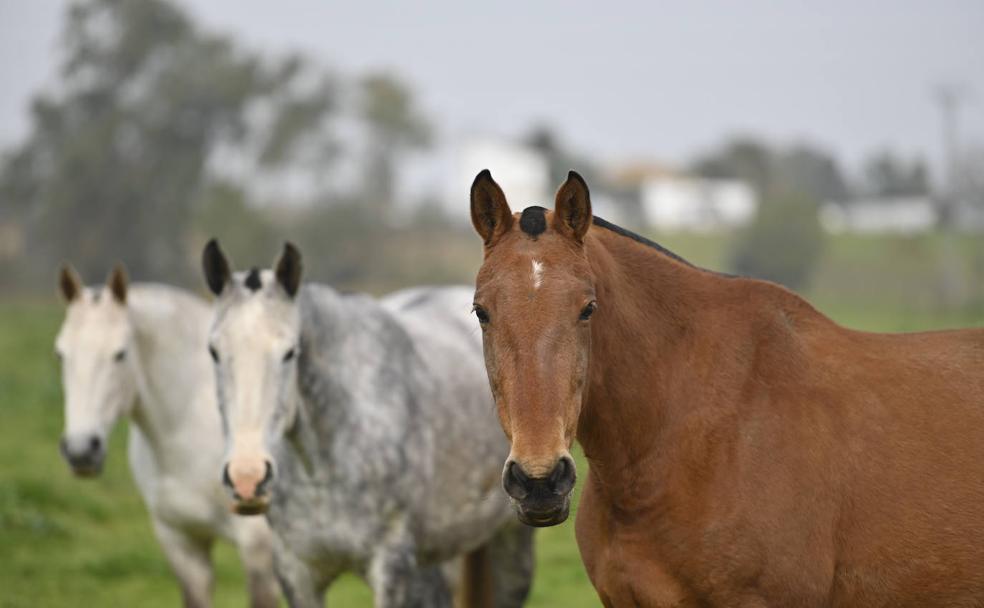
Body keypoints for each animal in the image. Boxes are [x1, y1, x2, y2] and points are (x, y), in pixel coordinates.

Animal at [200, 239, 536, 608]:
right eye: (213, 351)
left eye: (290, 352)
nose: (247, 478)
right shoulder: (296, 572)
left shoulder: (390, 565)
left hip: (508, 545)